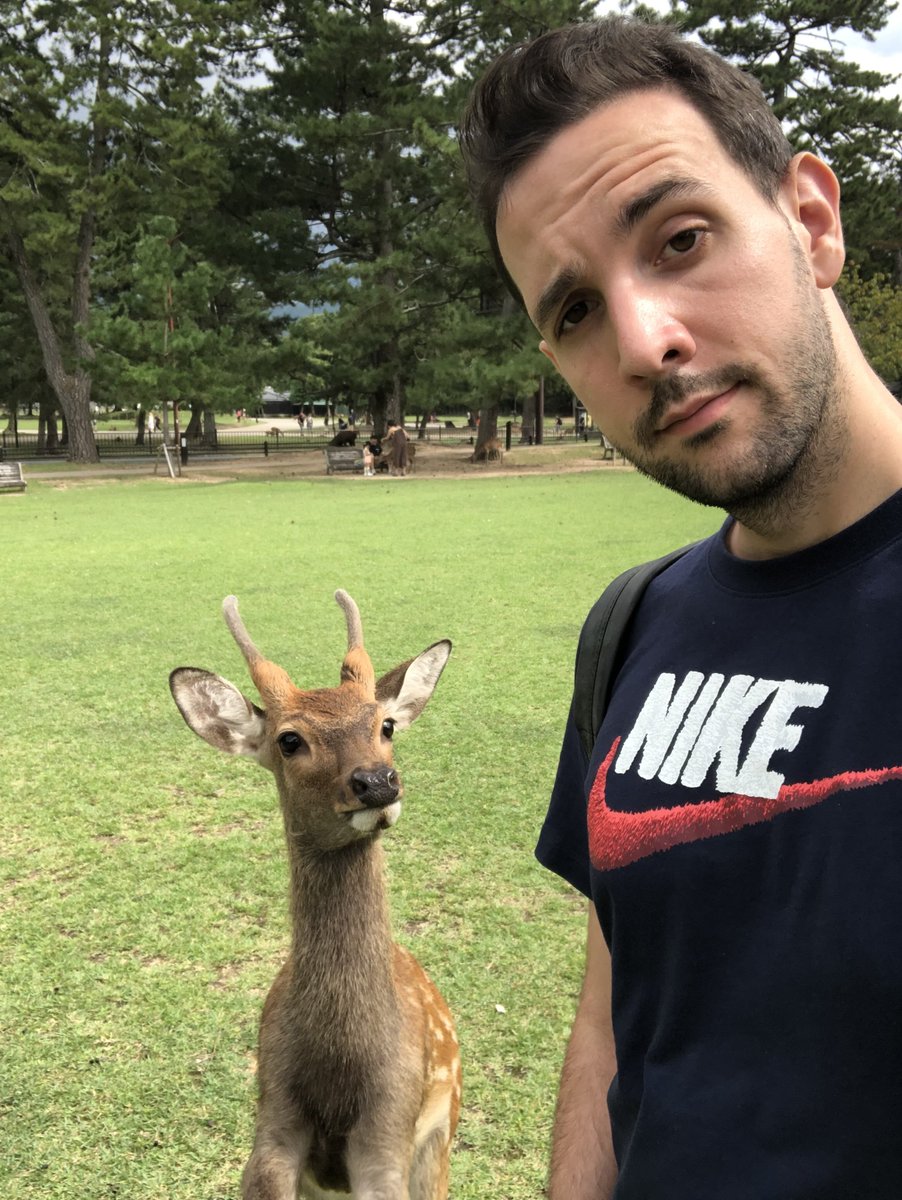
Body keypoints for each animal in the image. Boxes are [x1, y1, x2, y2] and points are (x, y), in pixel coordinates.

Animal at [169, 591, 461, 1199]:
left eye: (386, 724)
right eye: (289, 740)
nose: (377, 782)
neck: (340, 1058)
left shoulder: (391, 1120)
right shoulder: (273, 1109)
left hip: (441, 1135)